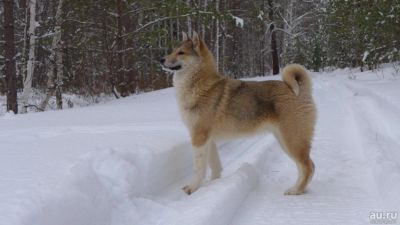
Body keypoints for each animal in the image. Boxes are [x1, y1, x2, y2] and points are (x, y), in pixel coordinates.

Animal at [159, 30, 316, 194]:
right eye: (173, 50)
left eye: (181, 52)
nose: (161, 59)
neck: (201, 85)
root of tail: (300, 90)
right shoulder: (209, 140)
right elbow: (215, 166)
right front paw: (213, 183)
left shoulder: (199, 137)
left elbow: (198, 167)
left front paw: (192, 188)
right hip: (284, 140)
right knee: (304, 167)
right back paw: (299, 189)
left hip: (292, 140)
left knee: (308, 166)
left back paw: (295, 191)